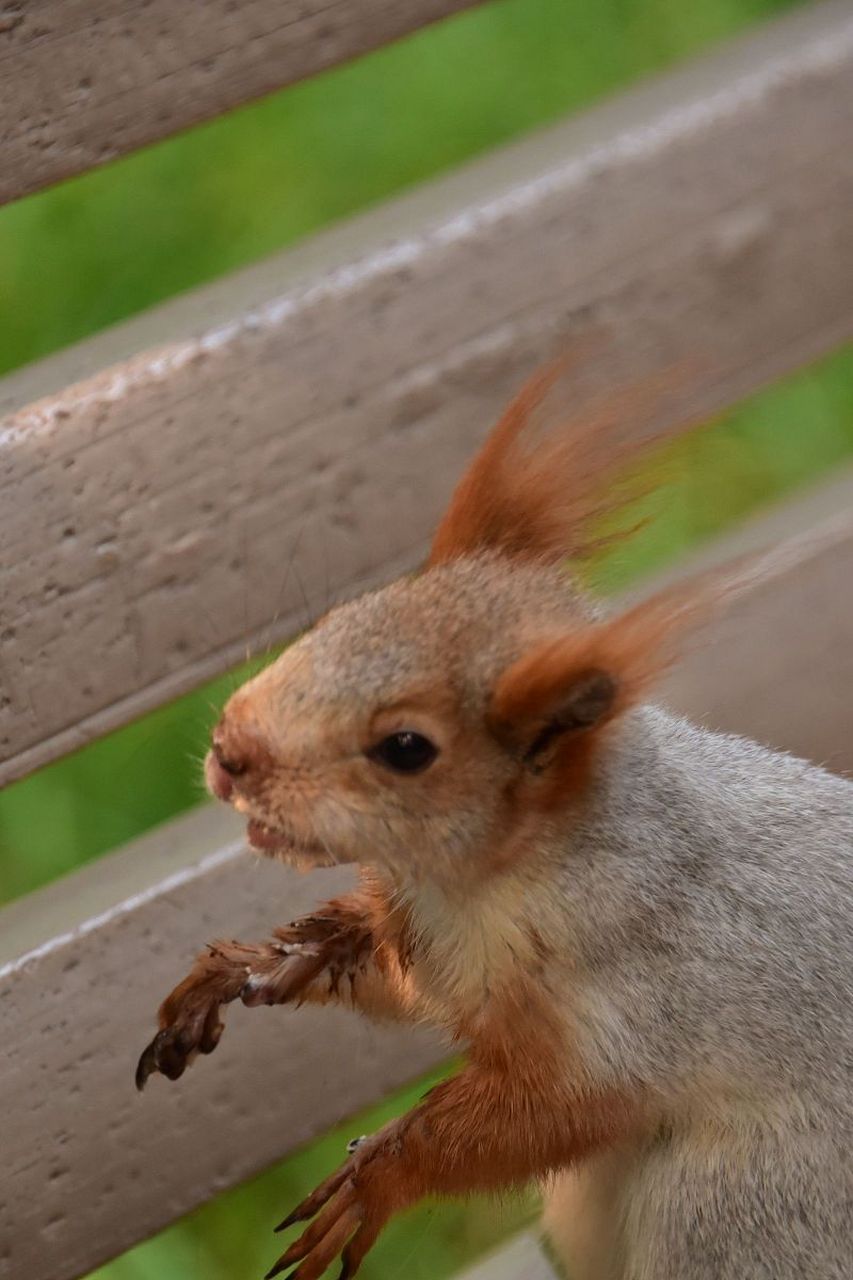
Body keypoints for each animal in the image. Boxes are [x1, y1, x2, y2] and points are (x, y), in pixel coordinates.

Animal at [136, 366, 845, 1280]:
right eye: (336, 619)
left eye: (406, 748)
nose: (230, 752)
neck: (471, 884)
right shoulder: (436, 951)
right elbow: (380, 969)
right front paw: (258, 966)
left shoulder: (636, 1009)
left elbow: (541, 1118)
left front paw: (378, 1176)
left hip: (736, 1211)